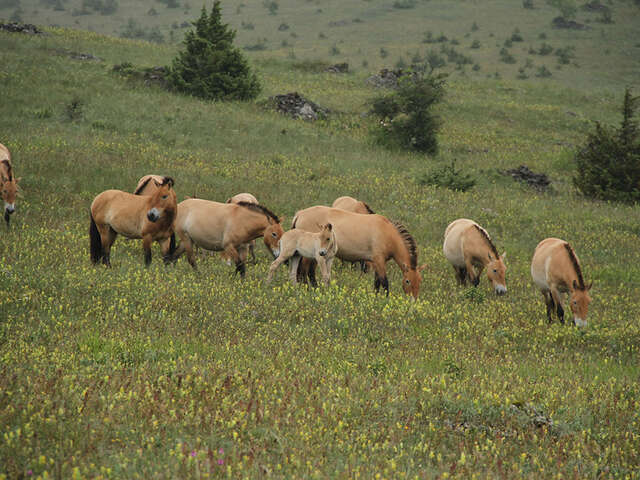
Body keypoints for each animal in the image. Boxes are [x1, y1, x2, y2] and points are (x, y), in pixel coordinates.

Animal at [292, 206, 427, 299]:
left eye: (420, 281)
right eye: (408, 281)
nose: (413, 300)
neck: (387, 233)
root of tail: (300, 214)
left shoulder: (377, 262)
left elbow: (377, 282)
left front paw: (375, 297)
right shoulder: (379, 261)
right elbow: (384, 282)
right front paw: (385, 299)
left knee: (310, 273)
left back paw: (316, 289)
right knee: (303, 272)